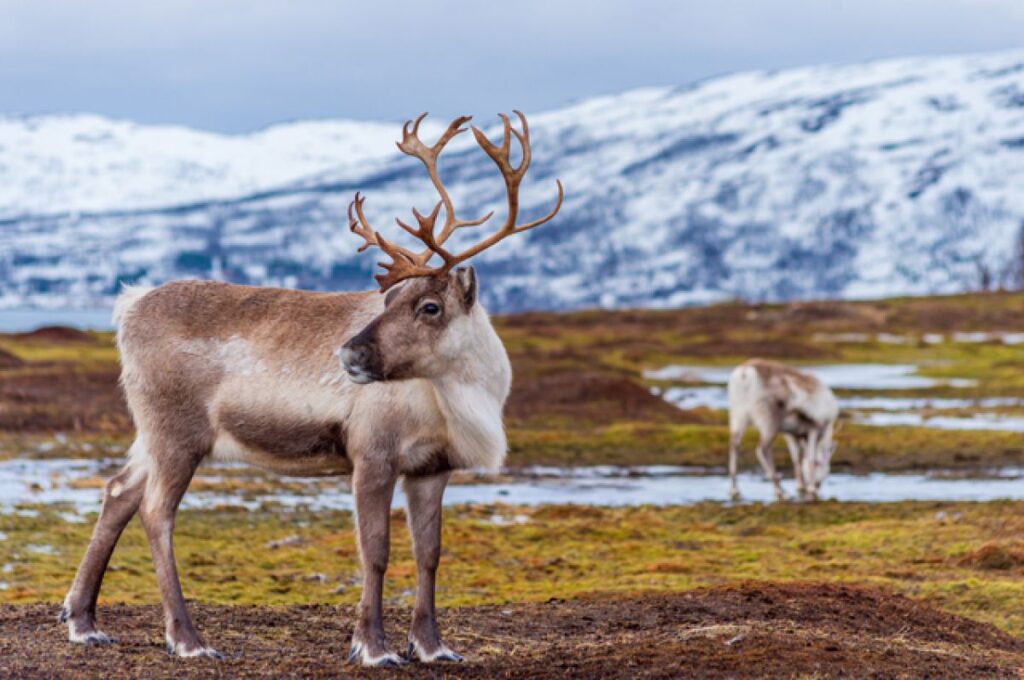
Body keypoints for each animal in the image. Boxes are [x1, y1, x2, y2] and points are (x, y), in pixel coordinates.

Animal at [59, 111, 563, 667]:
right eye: (388, 299)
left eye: (429, 306)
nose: (348, 354)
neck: (461, 397)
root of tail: (128, 306)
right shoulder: (373, 455)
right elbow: (376, 552)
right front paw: (373, 647)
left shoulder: (433, 468)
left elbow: (429, 555)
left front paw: (432, 646)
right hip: (177, 434)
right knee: (154, 512)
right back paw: (188, 639)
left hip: (150, 434)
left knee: (118, 491)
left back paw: (83, 622)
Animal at [726, 359, 839, 502]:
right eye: (825, 465)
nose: (818, 485)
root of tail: (745, 373)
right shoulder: (813, 428)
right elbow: (810, 459)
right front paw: (810, 488)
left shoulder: (792, 434)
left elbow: (797, 458)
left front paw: (801, 485)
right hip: (769, 420)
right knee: (762, 449)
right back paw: (781, 491)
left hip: (738, 415)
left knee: (734, 444)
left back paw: (734, 489)